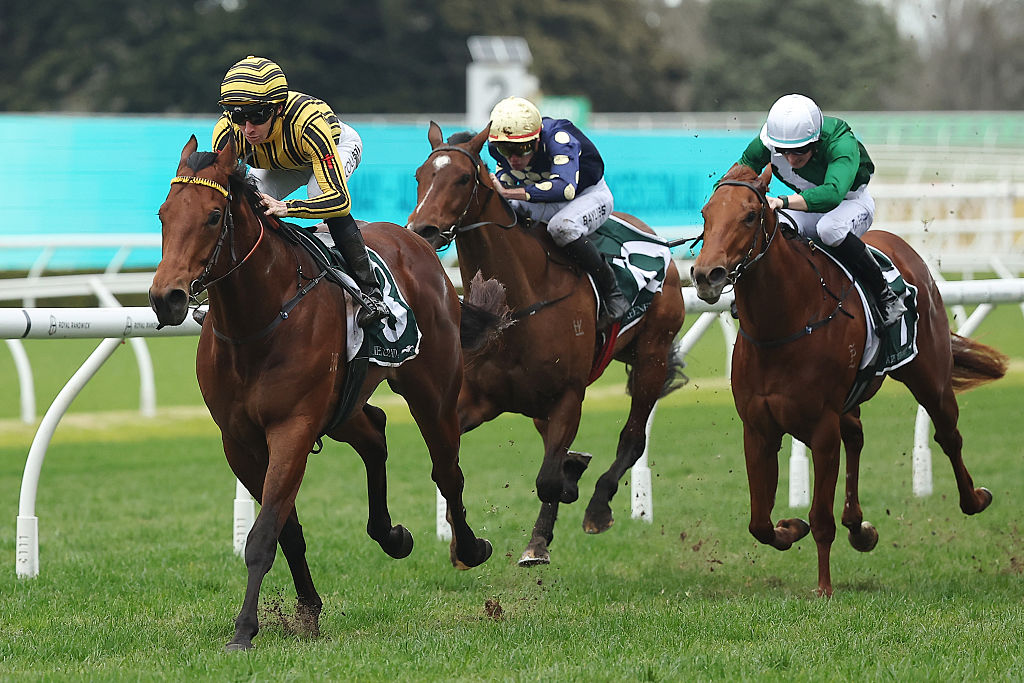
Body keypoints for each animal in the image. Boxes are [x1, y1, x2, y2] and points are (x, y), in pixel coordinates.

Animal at [149, 136, 499, 650]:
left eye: (213, 216)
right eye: (163, 214)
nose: (166, 297)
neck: (257, 321)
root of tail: (416, 242)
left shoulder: (292, 428)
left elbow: (263, 535)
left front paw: (243, 631)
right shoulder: (239, 440)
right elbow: (286, 531)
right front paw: (307, 610)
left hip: (432, 391)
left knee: (446, 471)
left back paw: (470, 548)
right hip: (342, 407)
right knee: (375, 433)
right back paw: (391, 535)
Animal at [406, 123, 687, 566]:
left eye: (463, 178)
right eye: (420, 175)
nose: (423, 230)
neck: (521, 302)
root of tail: (659, 242)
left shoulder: (569, 396)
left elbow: (547, 479)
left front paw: (539, 540)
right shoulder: (478, 400)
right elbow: (451, 463)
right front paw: (460, 543)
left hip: (652, 356)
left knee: (632, 437)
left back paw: (598, 506)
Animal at [690, 163, 1009, 596]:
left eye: (750, 215)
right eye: (706, 214)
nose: (706, 274)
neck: (784, 324)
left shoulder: (821, 428)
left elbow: (820, 518)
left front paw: (824, 588)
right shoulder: (757, 429)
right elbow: (759, 522)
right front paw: (791, 528)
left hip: (930, 378)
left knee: (948, 435)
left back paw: (974, 498)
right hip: (851, 398)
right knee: (856, 436)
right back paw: (859, 527)